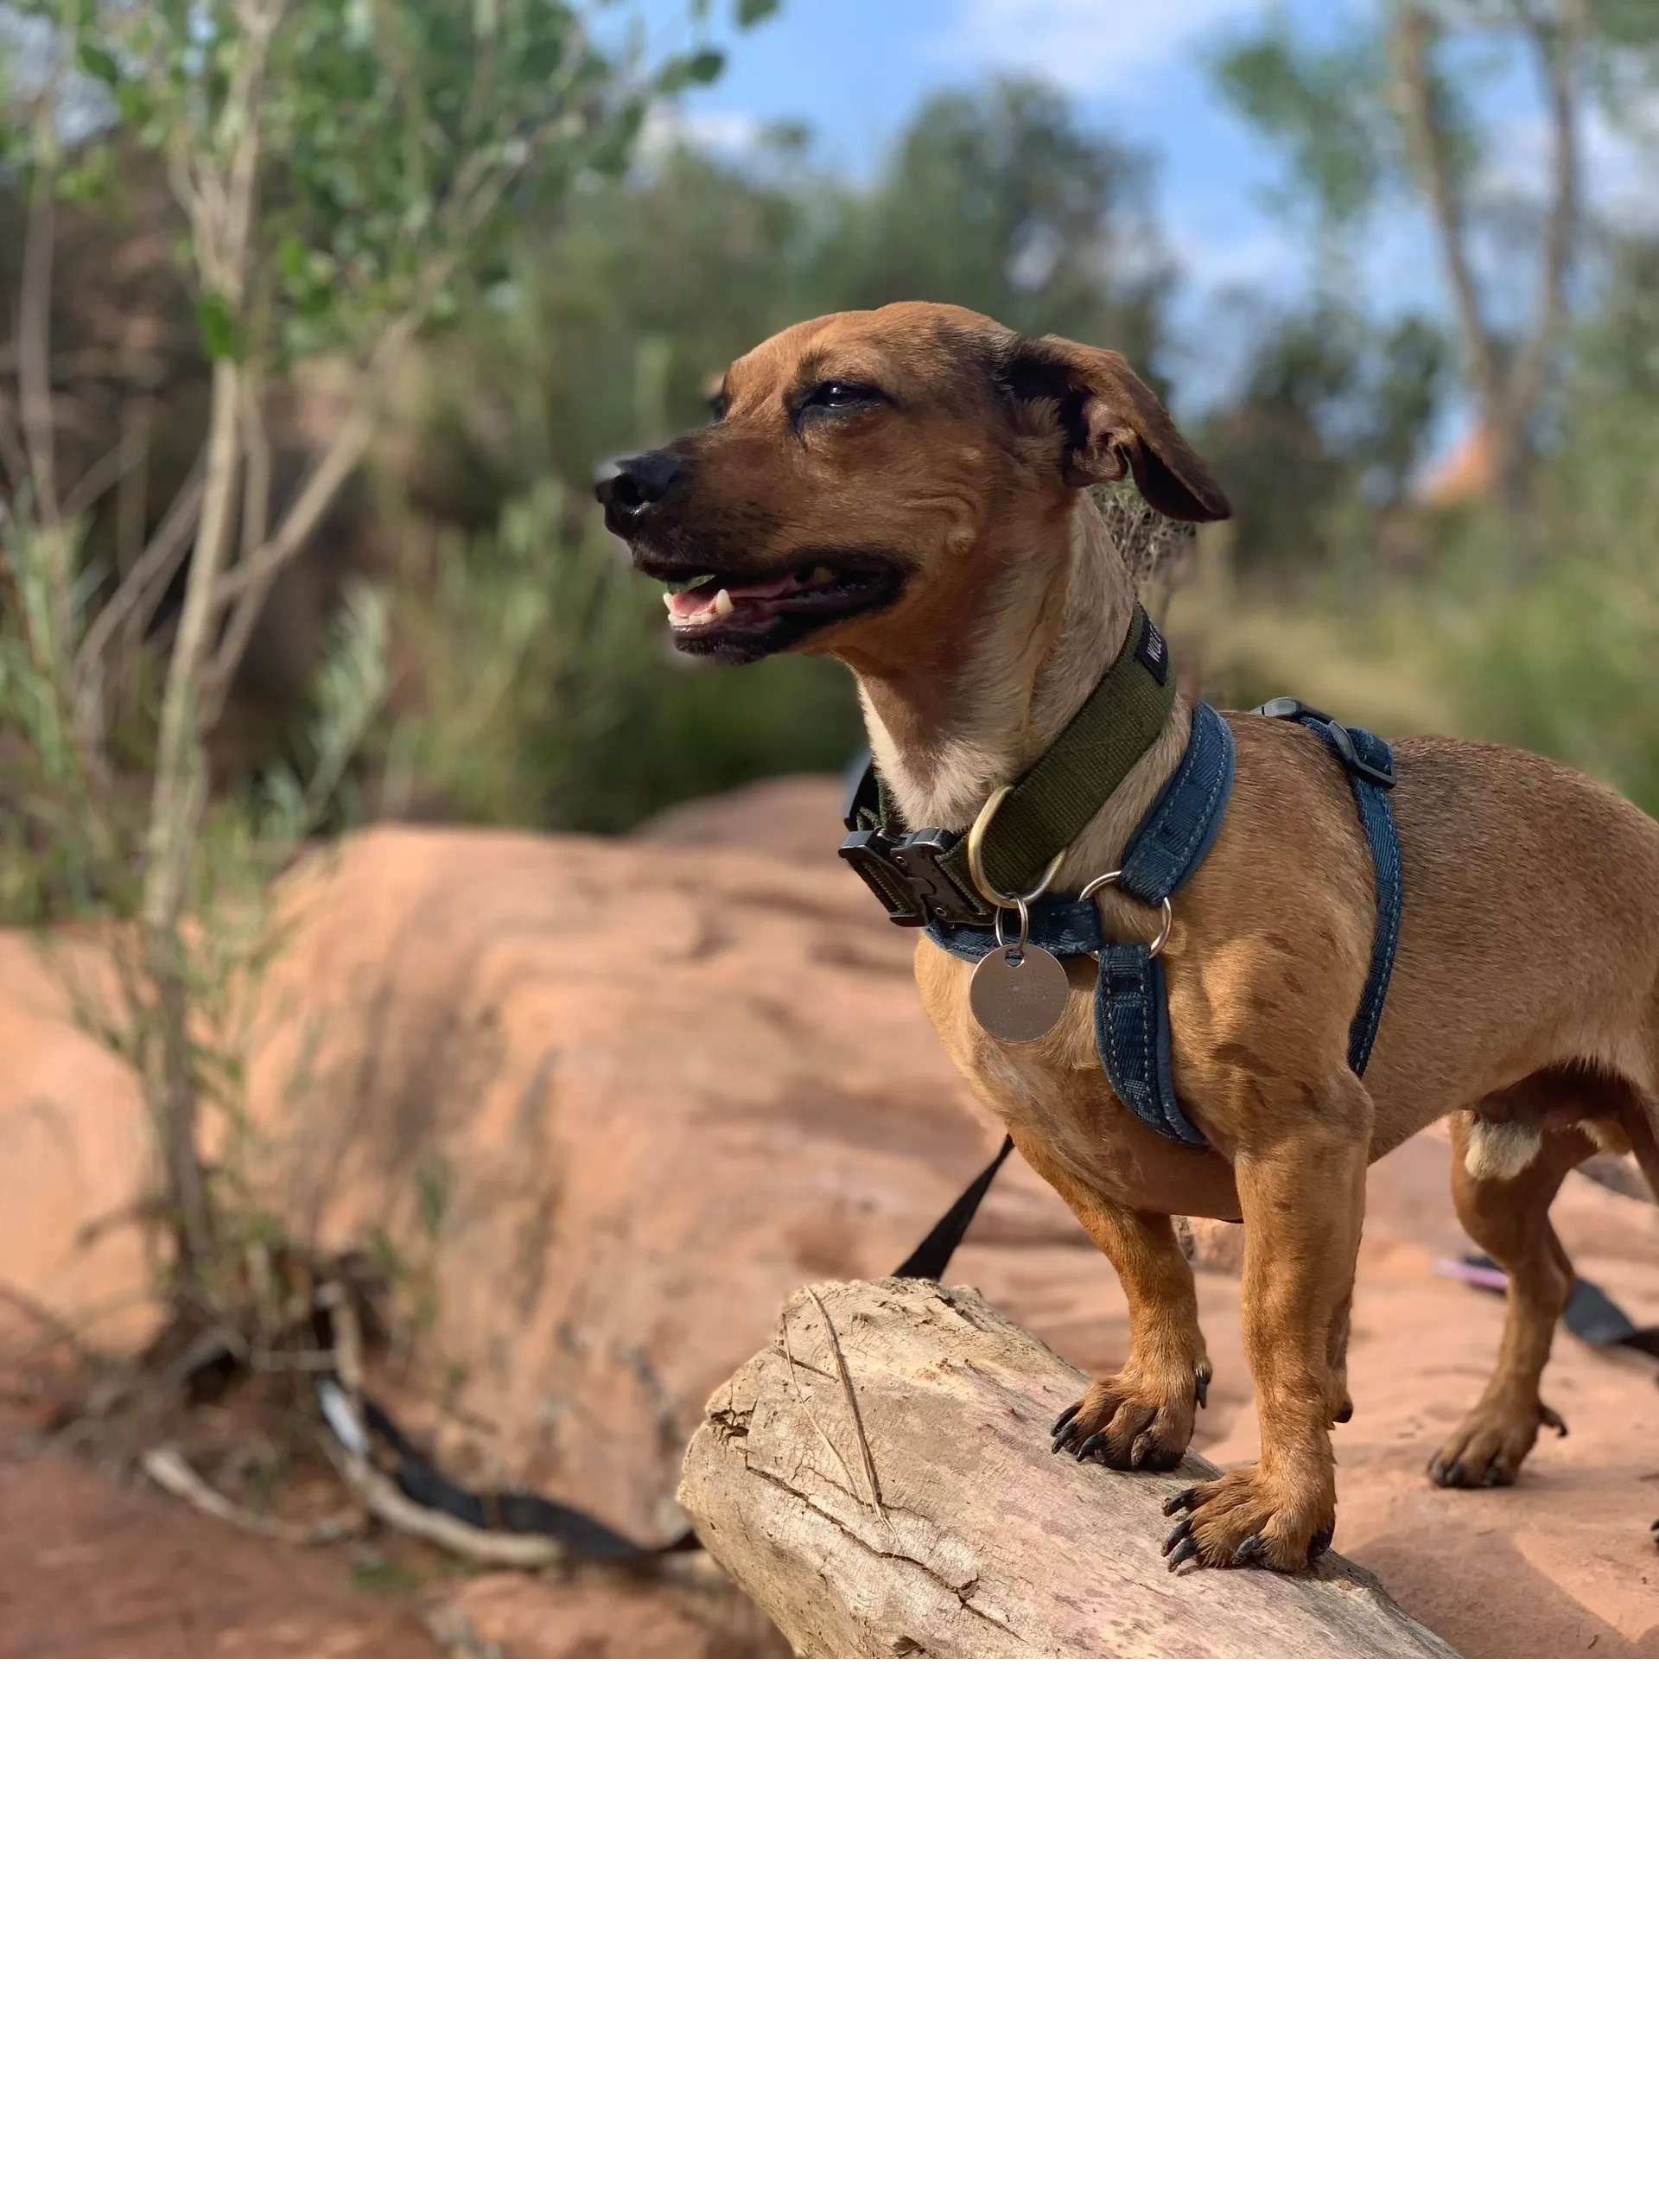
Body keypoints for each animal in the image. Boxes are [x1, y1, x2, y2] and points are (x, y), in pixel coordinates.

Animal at [597, 302, 1659, 1574]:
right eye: (721, 403)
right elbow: (1150, 1274)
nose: (614, 484)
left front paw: (1286, 1506)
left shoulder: (1302, 1143)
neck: (1051, 838)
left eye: (840, 397)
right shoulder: (1052, 1140)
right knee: (1547, 1277)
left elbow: (1283, 1341)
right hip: (1488, 1173)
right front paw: (1155, 1401)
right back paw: (1496, 1429)